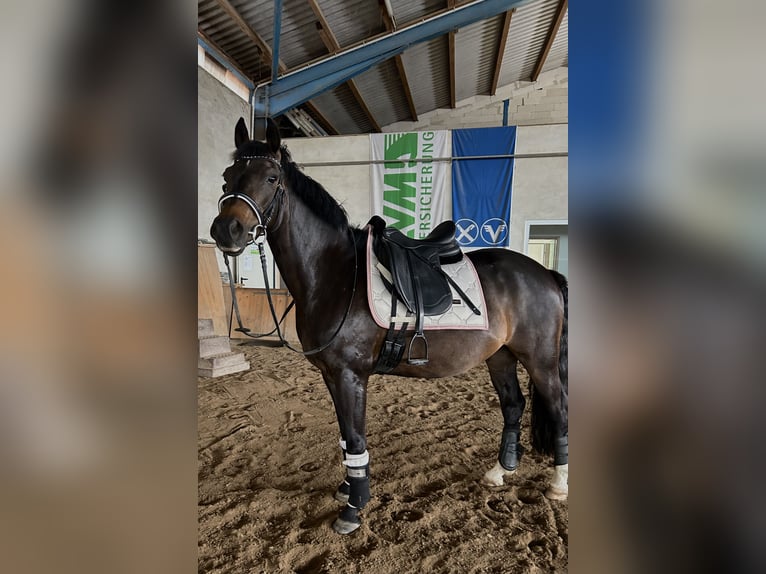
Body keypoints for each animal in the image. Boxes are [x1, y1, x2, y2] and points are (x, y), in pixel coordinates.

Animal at [209, 118, 568, 535]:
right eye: (227, 177)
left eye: (270, 177)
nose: (226, 230)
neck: (335, 274)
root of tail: (544, 273)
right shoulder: (331, 375)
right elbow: (345, 438)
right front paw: (347, 489)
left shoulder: (350, 375)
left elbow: (355, 437)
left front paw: (354, 508)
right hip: (501, 357)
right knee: (513, 406)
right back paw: (499, 472)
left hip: (540, 360)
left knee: (557, 408)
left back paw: (559, 484)